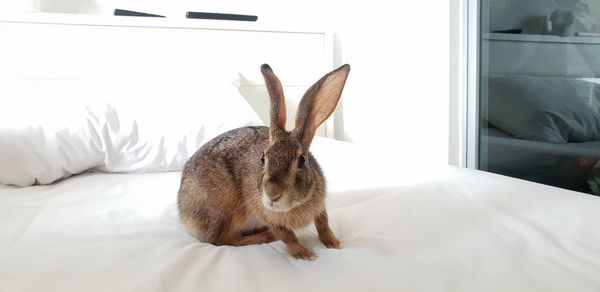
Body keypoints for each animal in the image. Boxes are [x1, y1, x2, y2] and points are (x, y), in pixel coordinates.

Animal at [176, 64, 350, 260]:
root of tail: (182, 211)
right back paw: (264, 236)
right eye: (263, 158)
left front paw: (334, 243)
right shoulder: (266, 214)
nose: (272, 194)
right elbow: (287, 235)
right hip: (224, 212)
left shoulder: (320, 206)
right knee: (224, 240)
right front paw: (304, 254)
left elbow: (323, 223)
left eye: (302, 160)